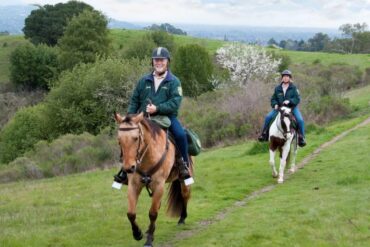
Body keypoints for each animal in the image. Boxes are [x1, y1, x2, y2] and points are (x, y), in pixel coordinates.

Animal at [114, 112, 192, 247]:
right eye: (119, 140)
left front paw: (149, 240)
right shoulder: (133, 185)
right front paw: (137, 233)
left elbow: (153, 213)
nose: (129, 168)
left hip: (183, 179)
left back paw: (182, 218)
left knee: (185, 195)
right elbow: (131, 213)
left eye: (136, 138)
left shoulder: (159, 185)